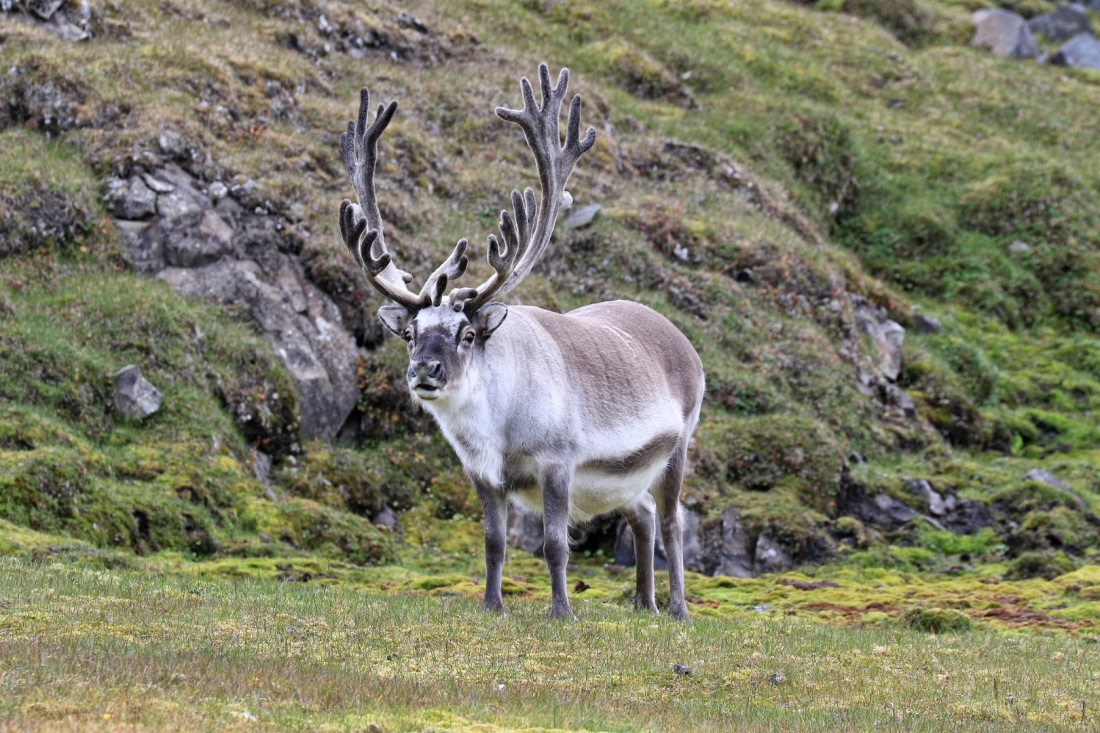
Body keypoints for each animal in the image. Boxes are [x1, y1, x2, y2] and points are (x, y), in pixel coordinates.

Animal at [337, 64, 704, 620]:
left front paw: (561, 612)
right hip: (623, 474)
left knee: (673, 521)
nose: (424, 371)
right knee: (640, 511)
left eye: (468, 334)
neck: (497, 429)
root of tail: (685, 343)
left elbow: (555, 543)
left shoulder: (557, 461)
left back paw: (679, 608)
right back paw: (644, 603)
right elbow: (493, 543)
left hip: (678, 446)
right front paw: (492, 606)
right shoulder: (482, 474)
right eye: (410, 333)